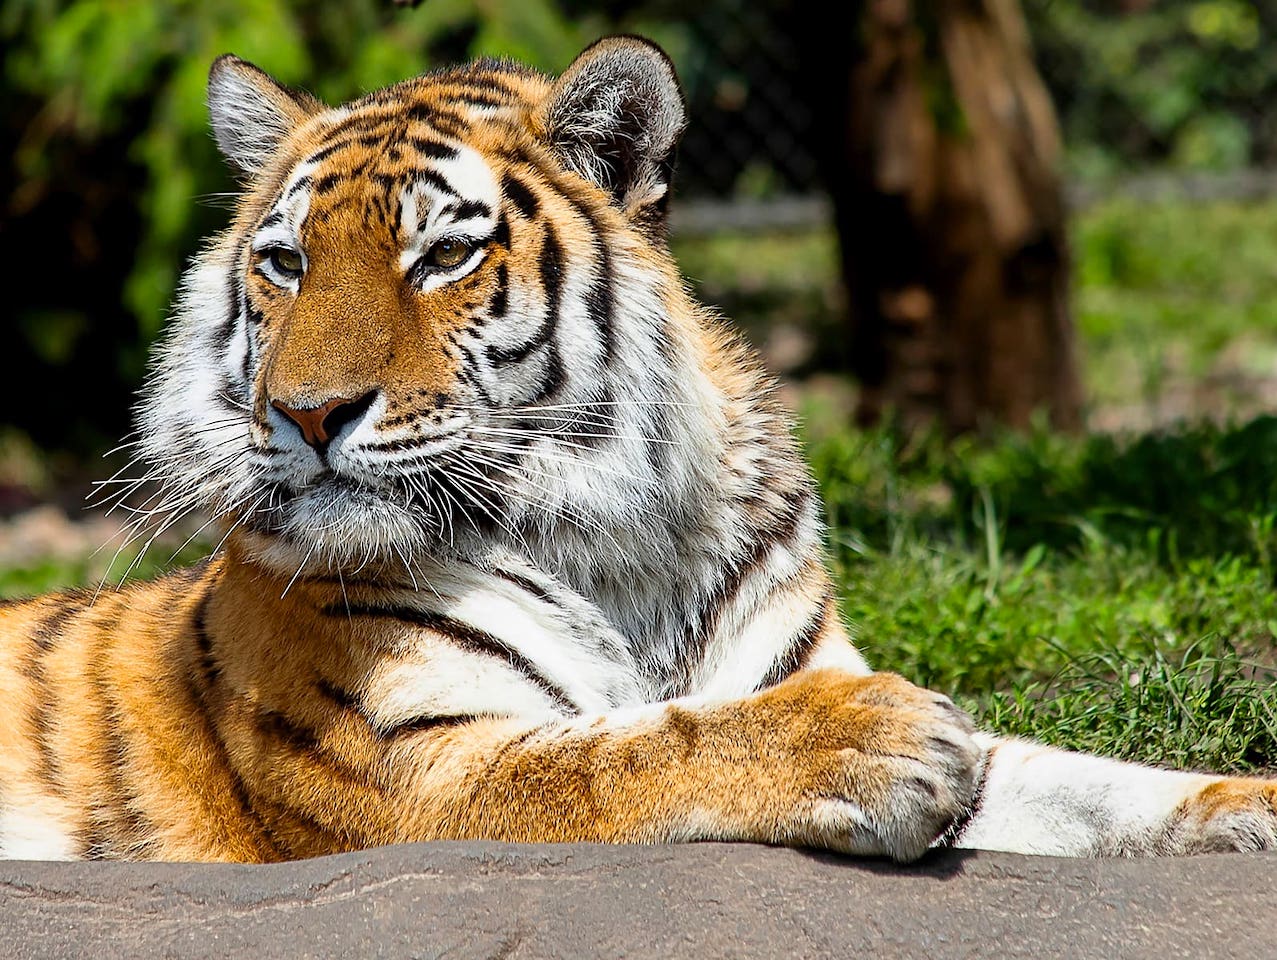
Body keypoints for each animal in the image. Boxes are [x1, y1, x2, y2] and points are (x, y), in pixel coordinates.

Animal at [0, 35, 1271, 862]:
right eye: (287, 264)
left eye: (439, 257)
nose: (308, 414)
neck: (620, 537)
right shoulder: (414, 769)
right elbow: (630, 751)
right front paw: (872, 739)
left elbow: (1093, 787)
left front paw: (1244, 805)